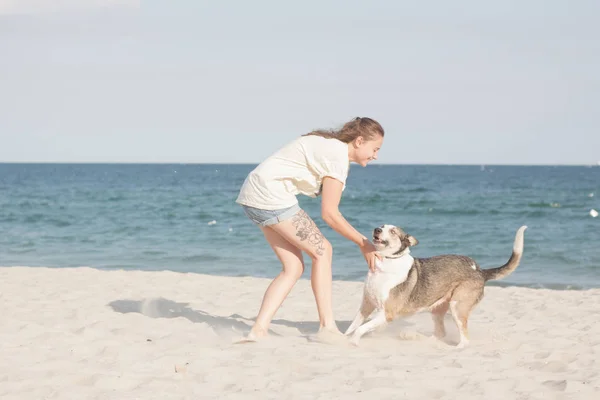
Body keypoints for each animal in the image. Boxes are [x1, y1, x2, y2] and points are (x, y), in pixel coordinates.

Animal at [344, 225, 528, 346]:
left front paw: (354, 342)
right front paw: (343, 338)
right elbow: (353, 326)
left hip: (457, 307)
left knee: (465, 340)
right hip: (438, 310)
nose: (377, 229)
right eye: (382, 226)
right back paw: (425, 341)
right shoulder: (366, 306)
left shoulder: (386, 314)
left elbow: (360, 328)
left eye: (393, 231)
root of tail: (480, 271)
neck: (386, 262)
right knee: (441, 333)